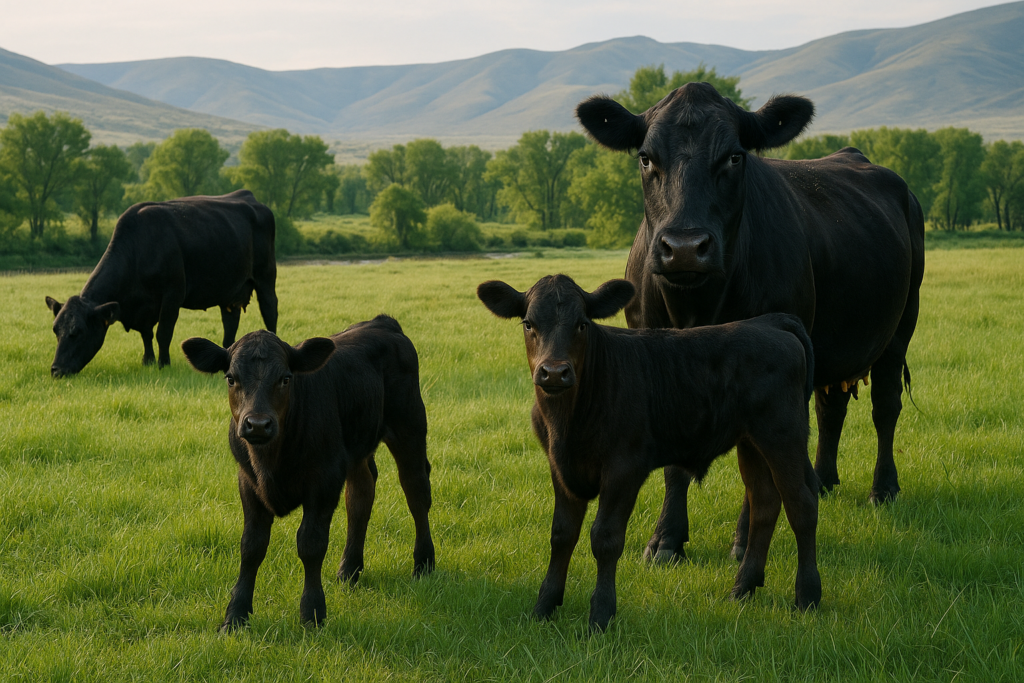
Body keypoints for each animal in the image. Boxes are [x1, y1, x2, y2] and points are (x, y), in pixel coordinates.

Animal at [45, 189, 278, 377]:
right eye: (55, 330)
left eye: (77, 332)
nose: (56, 370)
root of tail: (248, 196)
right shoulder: (143, 308)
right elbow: (146, 334)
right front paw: (147, 361)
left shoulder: (172, 294)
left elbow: (163, 333)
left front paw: (163, 364)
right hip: (230, 291)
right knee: (230, 321)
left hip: (266, 276)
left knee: (270, 311)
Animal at [181, 315, 435, 630]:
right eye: (231, 378)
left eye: (286, 378)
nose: (258, 424)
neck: (270, 462)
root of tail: (382, 323)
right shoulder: (248, 482)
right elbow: (251, 545)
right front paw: (235, 616)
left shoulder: (324, 480)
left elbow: (310, 544)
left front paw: (312, 614)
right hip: (357, 448)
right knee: (361, 497)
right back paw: (349, 570)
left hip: (409, 426)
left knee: (416, 491)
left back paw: (423, 564)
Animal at [478, 274, 820, 631]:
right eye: (528, 323)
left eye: (583, 324)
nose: (555, 372)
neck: (566, 423)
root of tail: (769, 322)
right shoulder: (560, 468)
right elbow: (561, 535)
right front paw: (543, 608)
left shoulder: (624, 468)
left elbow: (605, 538)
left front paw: (600, 615)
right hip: (751, 441)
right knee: (764, 504)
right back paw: (742, 589)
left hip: (783, 434)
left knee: (802, 505)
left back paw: (807, 596)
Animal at [575, 82, 925, 564]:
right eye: (645, 157)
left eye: (735, 157)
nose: (684, 247)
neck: (696, 307)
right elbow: (674, 462)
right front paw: (666, 539)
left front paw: (743, 542)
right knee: (830, 408)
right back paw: (823, 481)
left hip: (899, 326)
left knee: (885, 406)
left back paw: (883, 489)